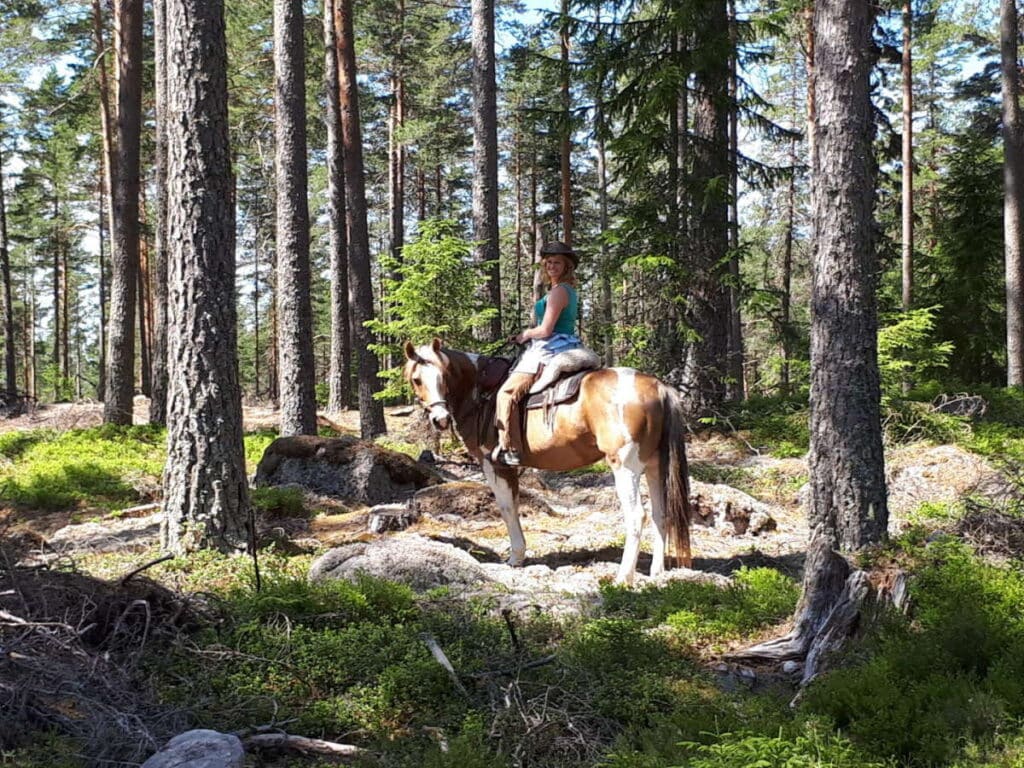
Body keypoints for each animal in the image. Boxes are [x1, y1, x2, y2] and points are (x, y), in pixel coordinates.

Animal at [403, 338, 693, 585]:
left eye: (443, 376)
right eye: (417, 379)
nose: (440, 419)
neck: (481, 392)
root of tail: (658, 386)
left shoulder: (493, 464)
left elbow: (506, 509)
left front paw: (515, 557)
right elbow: (514, 506)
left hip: (625, 466)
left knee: (636, 516)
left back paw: (623, 578)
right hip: (654, 465)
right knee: (660, 513)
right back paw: (657, 572)